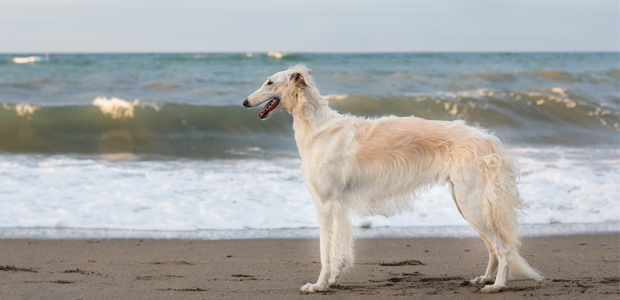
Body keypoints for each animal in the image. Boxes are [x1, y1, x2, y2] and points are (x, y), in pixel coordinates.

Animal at [242, 64, 544, 292]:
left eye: (270, 82)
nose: (244, 102)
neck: (319, 130)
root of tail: (487, 139)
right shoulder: (339, 207)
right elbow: (338, 249)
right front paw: (333, 281)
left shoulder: (325, 204)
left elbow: (324, 252)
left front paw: (318, 285)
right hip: (466, 203)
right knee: (493, 247)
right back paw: (486, 278)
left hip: (471, 204)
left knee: (502, 248)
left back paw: (498, 285)